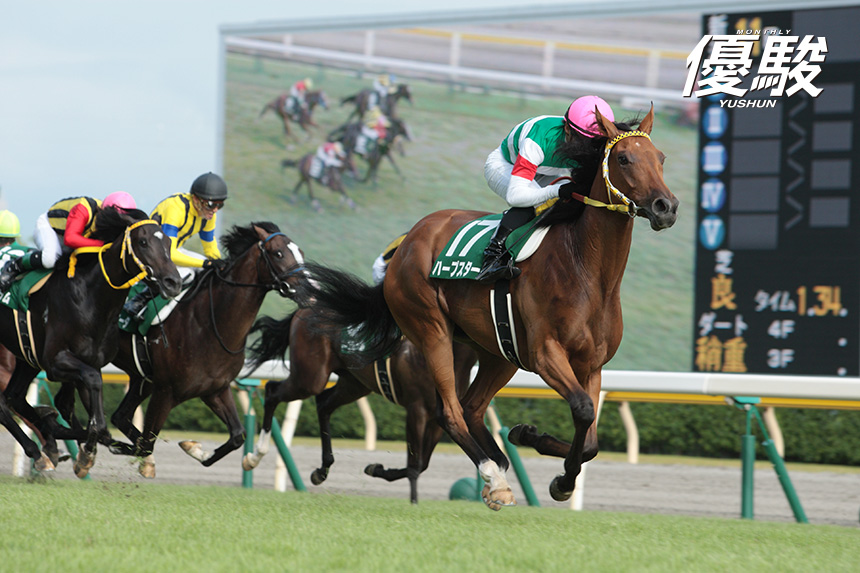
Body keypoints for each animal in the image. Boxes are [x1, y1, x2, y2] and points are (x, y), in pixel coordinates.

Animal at [0, 208, 180, 476]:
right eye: (143, 242)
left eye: (168, 242)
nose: (173, 282)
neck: (89, 299)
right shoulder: (55, 362)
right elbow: (94, 391)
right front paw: (81, 447)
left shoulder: (88, 363)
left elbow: (97, 417)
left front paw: (86, 451)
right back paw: (39, 448)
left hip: (26, 357)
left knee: (12, 398)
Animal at [107, 223, 310, 478]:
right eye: (279, 253)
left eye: (301, 252)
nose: (307, 288)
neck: (208, 326)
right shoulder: (166, 391)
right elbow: (145, 444)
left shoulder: (215, 389)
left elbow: (237, 436)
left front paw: (194, 448)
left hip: (142, 379)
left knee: (120, 416)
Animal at [242, 308, 478, 500]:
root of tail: (304, 308)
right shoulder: (416, 408)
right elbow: (414, 465)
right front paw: (413, 502)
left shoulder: (439, 418)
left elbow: (422, 464)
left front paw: (375, 468)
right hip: (309, 377)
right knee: (272, 391)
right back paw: (255, 456)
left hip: (353, 383)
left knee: (323, 403)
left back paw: (322, 470)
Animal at [296, 105, 680, 508]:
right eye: (623, 158)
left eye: (661, 158)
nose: (666, 207)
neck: (586, 271)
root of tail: (409, 240)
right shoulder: (546, 354)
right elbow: (583, 409)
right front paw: (558, 478)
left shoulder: (592, 365)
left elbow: (590, 438)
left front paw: (532, 441)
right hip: (431, 329)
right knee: (450, 412)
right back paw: (494, 477)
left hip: (498, 351)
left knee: (472, 408)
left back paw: (498, 462)